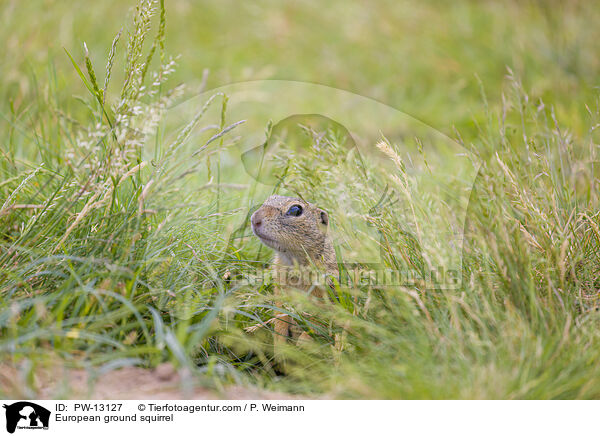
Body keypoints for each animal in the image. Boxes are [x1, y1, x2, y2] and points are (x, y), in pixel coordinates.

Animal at [251, 196, 340, 346]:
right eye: (269, 198)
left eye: (296, 210)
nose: (254, 219)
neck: (293, 260)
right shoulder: (280, 289)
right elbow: (280, 315)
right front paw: (280, 344)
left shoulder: (326, 294)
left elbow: (319, 320)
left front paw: (302, 343)